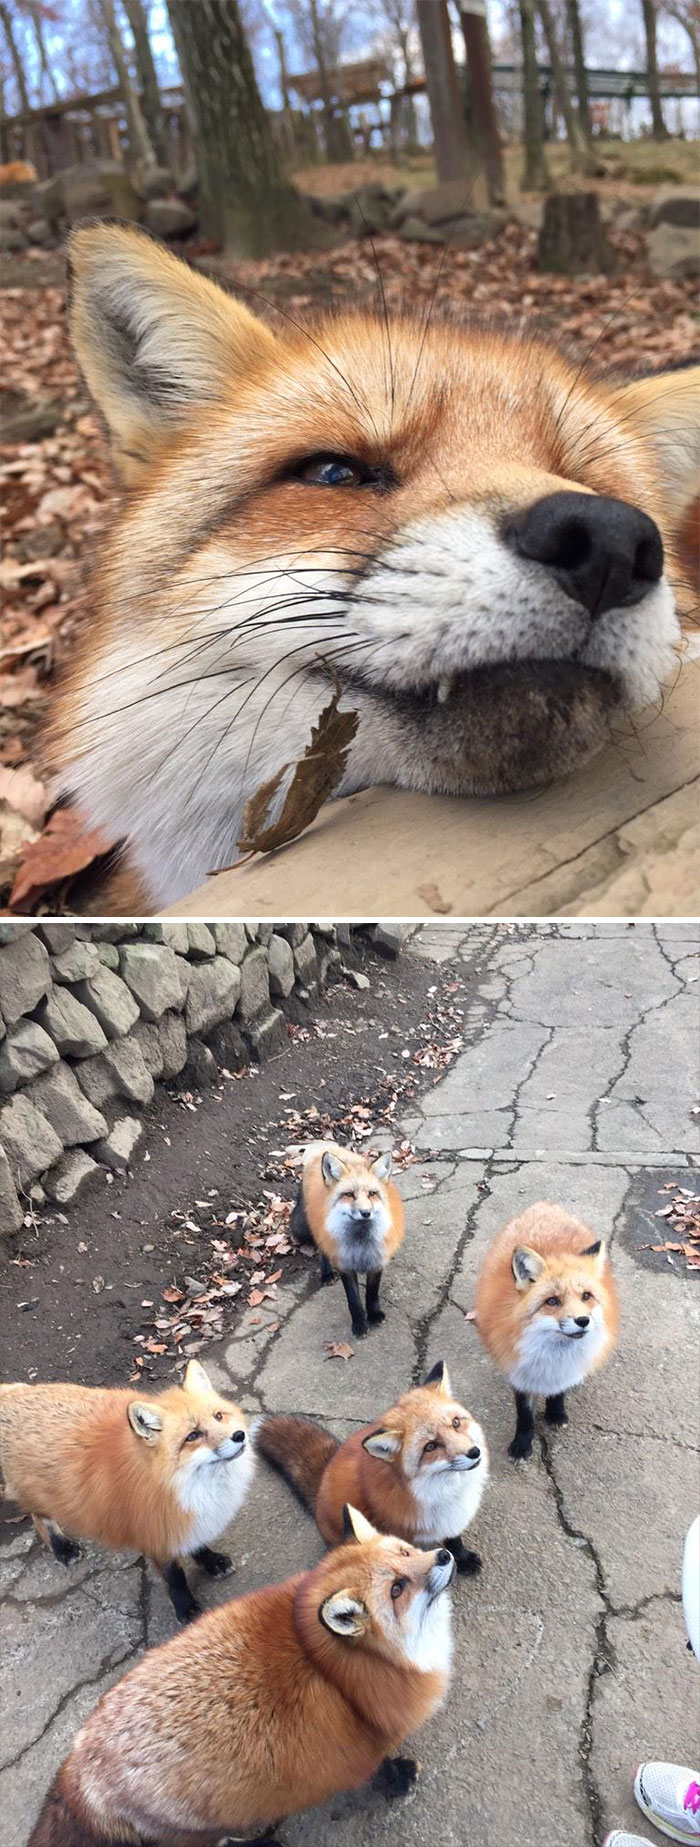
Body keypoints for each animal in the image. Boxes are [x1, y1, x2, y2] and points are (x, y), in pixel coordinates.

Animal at [0, 1358, 253, 1622]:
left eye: (218, 1416)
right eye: (192, 1436)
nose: (239, 1435)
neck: (182, 1486)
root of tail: (14, 1391)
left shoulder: (185, 1522)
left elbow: (198, 1545)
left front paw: (211, 1561)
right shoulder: (156, 1533)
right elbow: (175, 1578)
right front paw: (186, 1608)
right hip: (39, 1493)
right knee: (39, 1517)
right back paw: (62, 1547)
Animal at [28, 1504, 455, 1847]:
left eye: (404, 1551)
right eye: (397, 1588)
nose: (445, 1554)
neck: (332, 1666)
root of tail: (77, 1765)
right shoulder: (360, 1747)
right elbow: (381, 1773)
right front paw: (400, 1780)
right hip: (207, 1829)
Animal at [258, 1358, 488, 1574]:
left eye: (456, 1423)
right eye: (430, 1446)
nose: (474, 1452)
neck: (444, 1491)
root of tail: (324, 1476)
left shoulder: (451, 1518)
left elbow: (454, 1540)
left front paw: (463, 1558)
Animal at [289, 1139, 405, 1336]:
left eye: (372, 1194)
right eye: (349, 1194)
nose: (365, 1213)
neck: (361, 1243)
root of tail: (325, 1146)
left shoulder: (377, 1260)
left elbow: (372, 1293)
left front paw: (374, 1315)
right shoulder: (344, 1264)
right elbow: (354, 1300)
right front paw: (359, 1325)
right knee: (323, 1250)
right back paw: (326, 1273)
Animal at [474, 1201, 619, 1460]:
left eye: (586, 1296)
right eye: (552, 1301)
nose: (583, 1320)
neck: (554, 1356)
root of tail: (545, 1205)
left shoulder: (563, 1370)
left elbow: (559, 1392)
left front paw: (556, 1413)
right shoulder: (519, 1370)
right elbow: (524, 1414)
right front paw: (522, 1443)